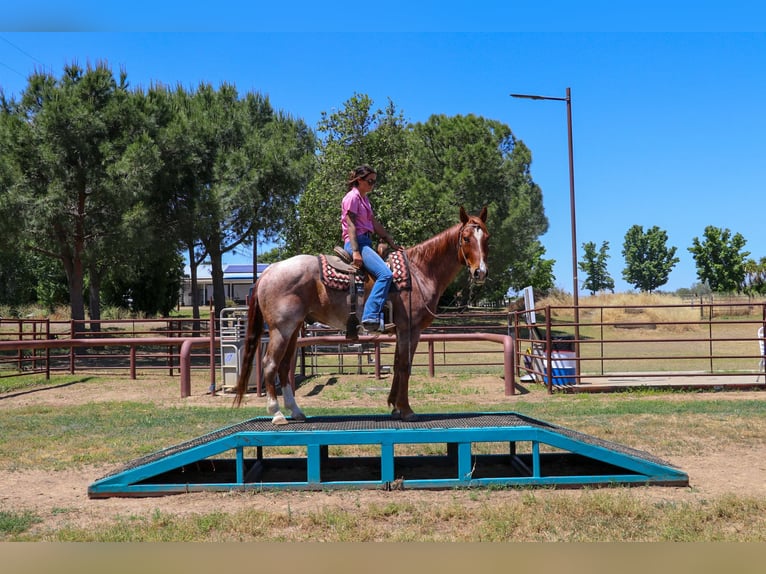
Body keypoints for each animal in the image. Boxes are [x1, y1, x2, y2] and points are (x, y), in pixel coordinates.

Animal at [231, 206, 492, 424]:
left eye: (487, 238)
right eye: (466, 238)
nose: (480, 272)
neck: (421, 271)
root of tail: (270, 270)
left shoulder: (400, 332)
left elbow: (396, 365)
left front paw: (394, 406)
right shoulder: (410, 329)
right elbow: (404, 366)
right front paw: (407, 410)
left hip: (294, 330)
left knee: (284, 367)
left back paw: (296, 411)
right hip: (281, 329)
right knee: (270, 364)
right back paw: (276, 414)